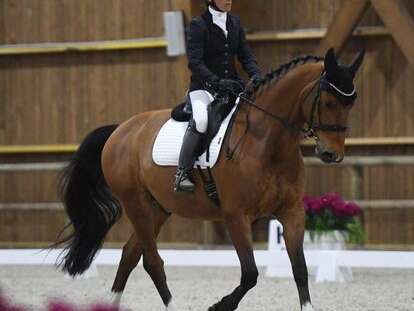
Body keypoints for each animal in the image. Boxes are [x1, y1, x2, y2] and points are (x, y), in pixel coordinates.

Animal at [55, 48, 366, 311]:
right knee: (152, 261)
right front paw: (221, 305)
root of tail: (121, 130)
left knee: (130, 255)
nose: (332, 154)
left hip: (158, 208)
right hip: (135, 203)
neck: (266, 143)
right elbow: (250, 273)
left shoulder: (292, 212)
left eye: (351, 104)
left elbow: (300, 269)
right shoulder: (236, 216)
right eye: (328, 101)